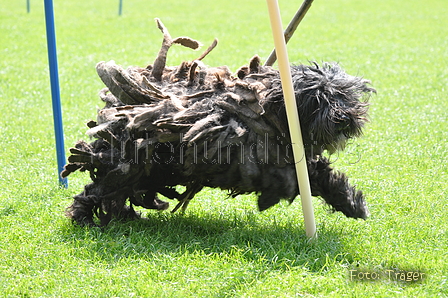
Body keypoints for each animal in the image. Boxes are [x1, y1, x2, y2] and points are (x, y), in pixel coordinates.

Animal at [61, 21, 372, 226]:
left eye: (343, 94)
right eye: (318, 98)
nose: (344, 118)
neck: (269, 113)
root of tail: (116, 105)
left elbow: (324, 177)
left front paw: (353, 204)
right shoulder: (268, 167)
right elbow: (295, 182)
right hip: (129, 165)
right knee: (99, 189)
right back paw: (83, 217)